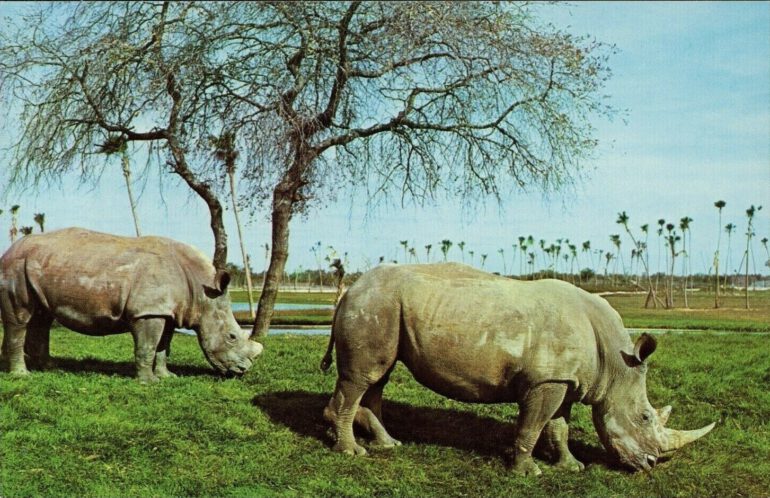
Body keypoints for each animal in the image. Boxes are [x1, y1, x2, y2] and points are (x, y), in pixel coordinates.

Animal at [0, 227, 263, 382]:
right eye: (231, 337)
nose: (243, 371)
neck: (202, 292)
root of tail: (8, 251)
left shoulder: (166, 311)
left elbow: (163, 347)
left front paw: (168, 377)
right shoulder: (147, 311)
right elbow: (147, 346)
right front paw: (148, 383)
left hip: (38, 266)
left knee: (41, 318)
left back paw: (51, 369)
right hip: (15, 266)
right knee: (20, 319)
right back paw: (22, 375)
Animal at [320, 263, 714, 475]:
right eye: (645, 418)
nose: (650, 463)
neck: (615, 363)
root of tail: (350, 289)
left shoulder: (564, 379)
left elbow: (558, 427)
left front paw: (571, 467)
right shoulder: (546, 380)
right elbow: (533, 424)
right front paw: (528, 472)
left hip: (383, 307)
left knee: (378, 377)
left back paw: (388, 445)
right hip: (374, 305)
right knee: (362, 378)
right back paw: (351, 452)